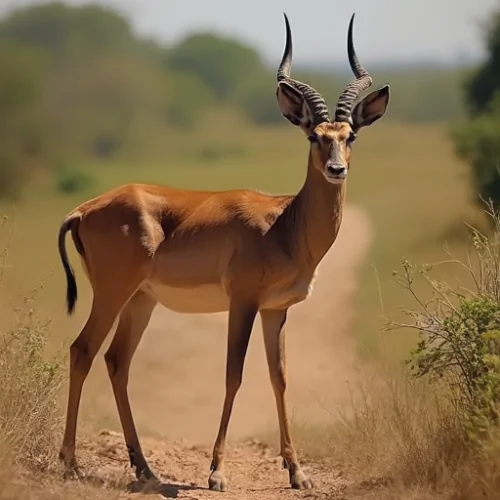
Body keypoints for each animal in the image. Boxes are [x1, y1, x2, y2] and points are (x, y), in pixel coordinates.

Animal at [55, 11, 390, 492]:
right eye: (313, 136)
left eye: (350, 136)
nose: (336, 169)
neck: (283, 225)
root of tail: (83, 209)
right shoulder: (243, 302)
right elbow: (234, 374)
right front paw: (216, 473)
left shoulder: (275, 309)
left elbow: (278, 377)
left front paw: (298, 472)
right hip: (112, 294)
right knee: (82, 351)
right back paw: (70, 463)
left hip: (141, 300)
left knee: (117, 361)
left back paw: (145, 468)